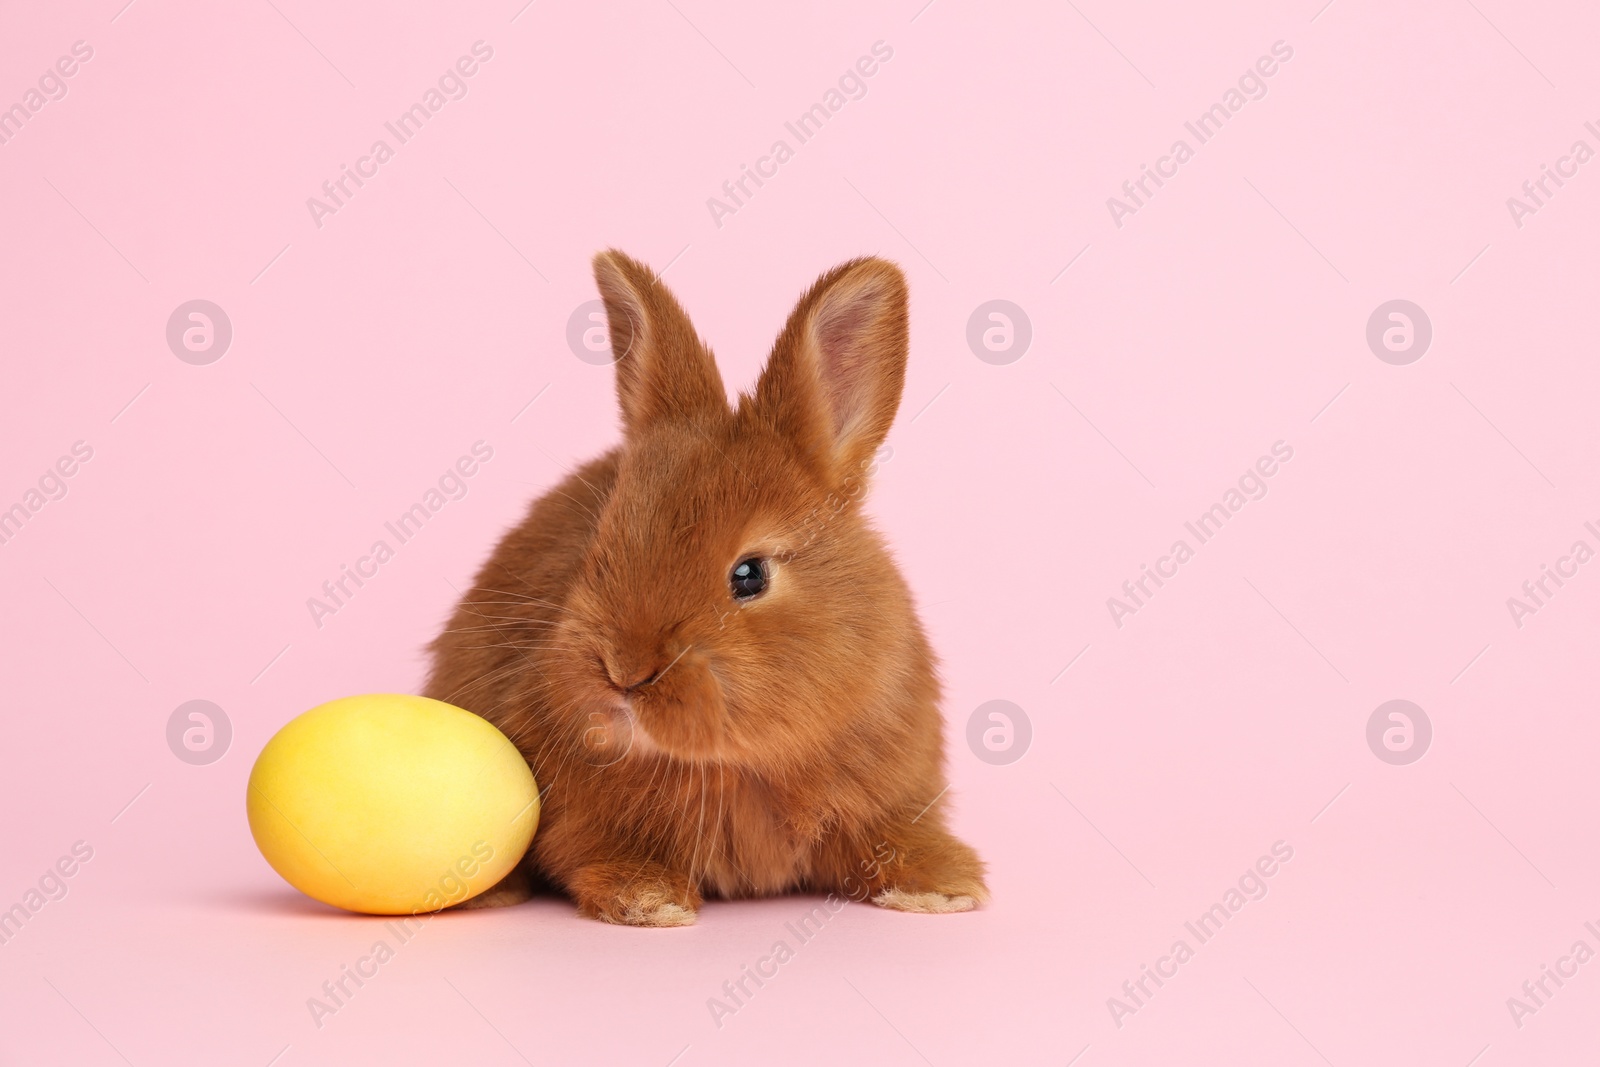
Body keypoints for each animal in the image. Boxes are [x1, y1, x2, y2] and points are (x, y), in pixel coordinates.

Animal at [419, 251, 979, 927]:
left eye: (750, 574)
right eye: (601, 540)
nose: (623, 671)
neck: (737, 762)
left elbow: (893, 840)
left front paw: (945, 888)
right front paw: (649, 900)